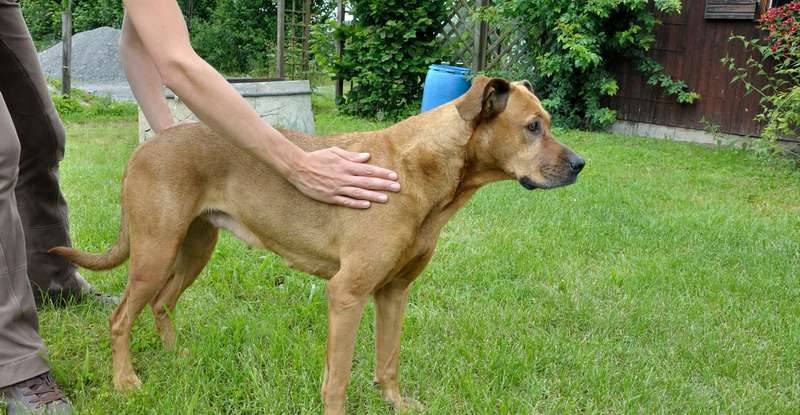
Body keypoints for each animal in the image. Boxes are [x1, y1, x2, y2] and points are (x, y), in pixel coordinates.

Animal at [53, 76, 584, 414]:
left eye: (548, 121)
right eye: (533, 127)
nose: (581, 165)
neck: (418, 171)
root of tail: (145, 147)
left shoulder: (393, 293)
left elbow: (388, 361)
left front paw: (395, 404)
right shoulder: (347, 295)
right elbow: (339, 378)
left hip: (194, 247)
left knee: (162, 304)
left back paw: (175, 356)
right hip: (155, 251)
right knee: (120, 318)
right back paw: (126, 382)